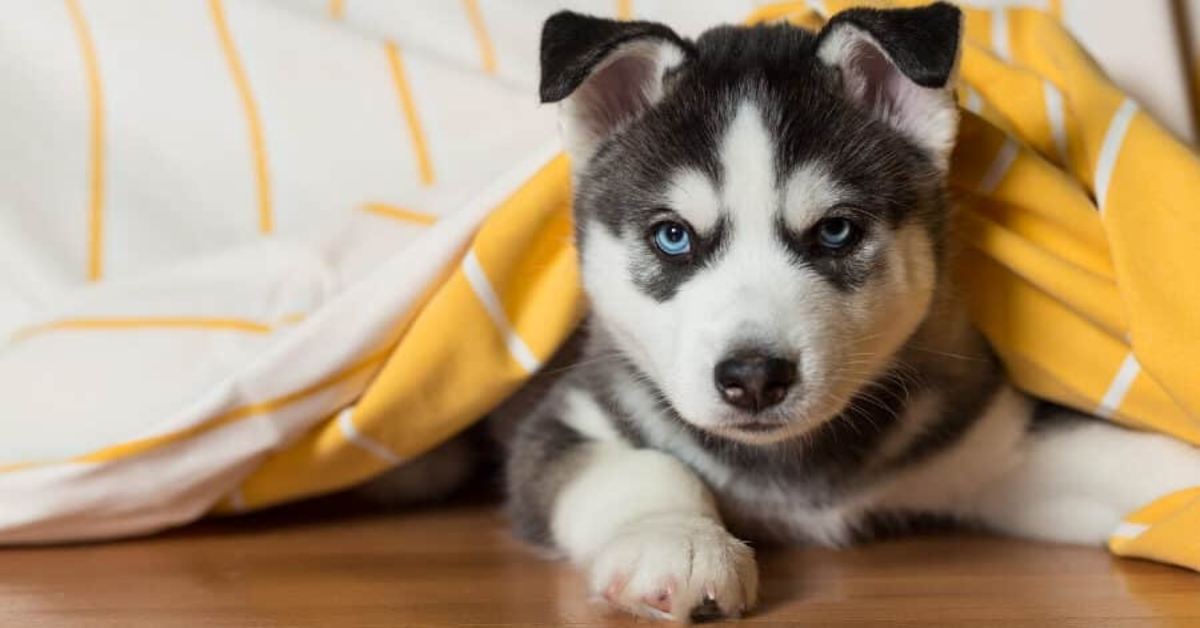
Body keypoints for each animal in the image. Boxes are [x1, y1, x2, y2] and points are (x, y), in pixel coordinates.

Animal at [501, 2, 1200, 624]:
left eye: (836, 231)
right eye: (672, 237)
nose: (754, 377)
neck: (794, 468)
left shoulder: (992, 445)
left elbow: (1112, 450)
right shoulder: (572, 413)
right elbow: (642, 465)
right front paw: (678, 541)